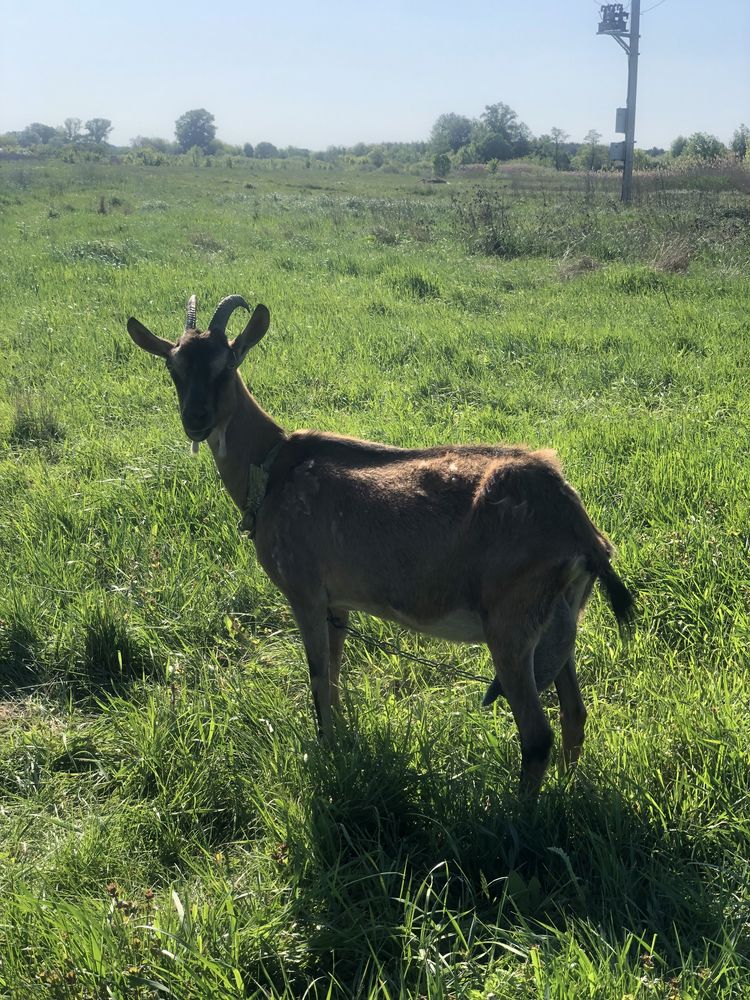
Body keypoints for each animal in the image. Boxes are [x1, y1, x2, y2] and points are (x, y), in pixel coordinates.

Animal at [128, 292, 636, 792]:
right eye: (173, 370)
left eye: (227, 365)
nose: (196, 420)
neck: (271, 468)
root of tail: (580, 529)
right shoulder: (337, 602)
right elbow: (334, 675)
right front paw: (340, 743)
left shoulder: (304, 591)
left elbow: (318, 677)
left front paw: (324, 752)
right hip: (561, 617)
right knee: (574, 713)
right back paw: (565, 793)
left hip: (511, 625)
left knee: (537, 736)